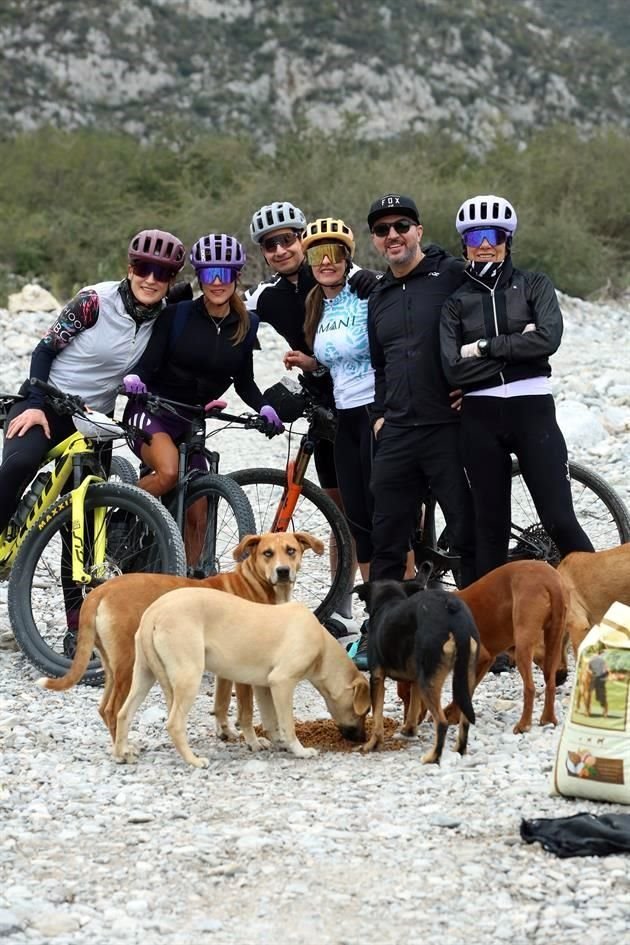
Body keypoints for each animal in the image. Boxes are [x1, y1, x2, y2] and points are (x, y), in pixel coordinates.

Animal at [38, 532, 326, 744]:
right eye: (268, 553)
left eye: (291, 550)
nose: (283, 571)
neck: (253, 583)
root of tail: (101, 590)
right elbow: (245, 709)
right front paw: (253, 741)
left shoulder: (225, 670)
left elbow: (221, 703)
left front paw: (226, 732)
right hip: (129, 665)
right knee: (112, 710)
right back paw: (126, 748)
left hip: (113, 665)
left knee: (103, 708)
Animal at [113, 592, 372, 768]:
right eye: (364, 710)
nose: (361, 739)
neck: (322, 646)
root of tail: (154, 611)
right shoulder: (282, 682)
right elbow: (287, 723)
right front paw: (299, 750)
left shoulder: (265, 686)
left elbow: (270, 720)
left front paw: (273, 741)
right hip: (188, 677)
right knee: (174, 723)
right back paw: (194, 761)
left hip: (144, 676)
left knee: (123, 714)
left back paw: (122, 753)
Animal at [354, 580, 482, 764]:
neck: (387, 601)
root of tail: (452, 610)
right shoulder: (415, 679)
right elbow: (414, 706)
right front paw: (409, 730)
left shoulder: (377, 677)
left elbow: (377, 714)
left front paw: (372, 744)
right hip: (465, 676)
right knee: (465, 720)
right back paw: (459, 750)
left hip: (429, 679)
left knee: (442, 722)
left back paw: (433, 757)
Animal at [402, 560, 572, 736]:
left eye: (409, 694)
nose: (407, 725)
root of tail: (551, 581)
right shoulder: (487, 660)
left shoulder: (481, 657)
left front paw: (453, 717)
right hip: (553, 639)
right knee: (550, 683)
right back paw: (548, 719)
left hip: (523, 646)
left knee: (530, 688)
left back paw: (524, 724)